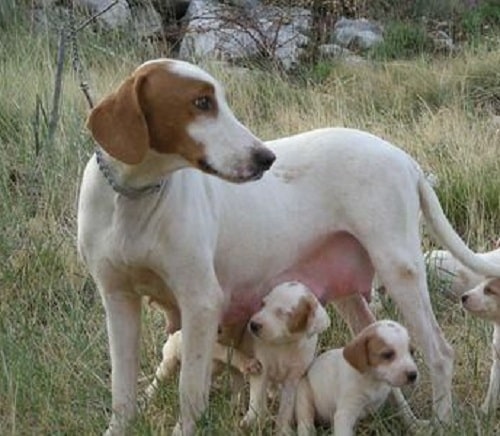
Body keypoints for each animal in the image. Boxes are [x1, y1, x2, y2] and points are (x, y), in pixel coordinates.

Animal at [242, 282, 332, 434]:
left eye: (282, 313)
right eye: (262, 304)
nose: (253, 324)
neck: (284, 343)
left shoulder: (293, 378)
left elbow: (286, 407)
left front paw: (282, 429)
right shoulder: (261, 367)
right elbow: (256, 397)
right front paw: (251, 420)